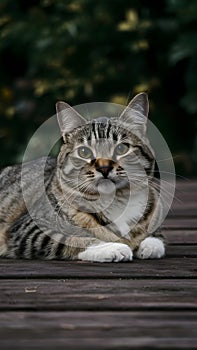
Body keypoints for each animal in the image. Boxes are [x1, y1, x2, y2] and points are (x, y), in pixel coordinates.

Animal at [0, 91, 165, 262]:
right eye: (84, 152)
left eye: (121, 148)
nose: (104, 167)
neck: (116, 201)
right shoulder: (29, 229)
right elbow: (72, 239)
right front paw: (112, 248)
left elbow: (154, 235)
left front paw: (150, 244)